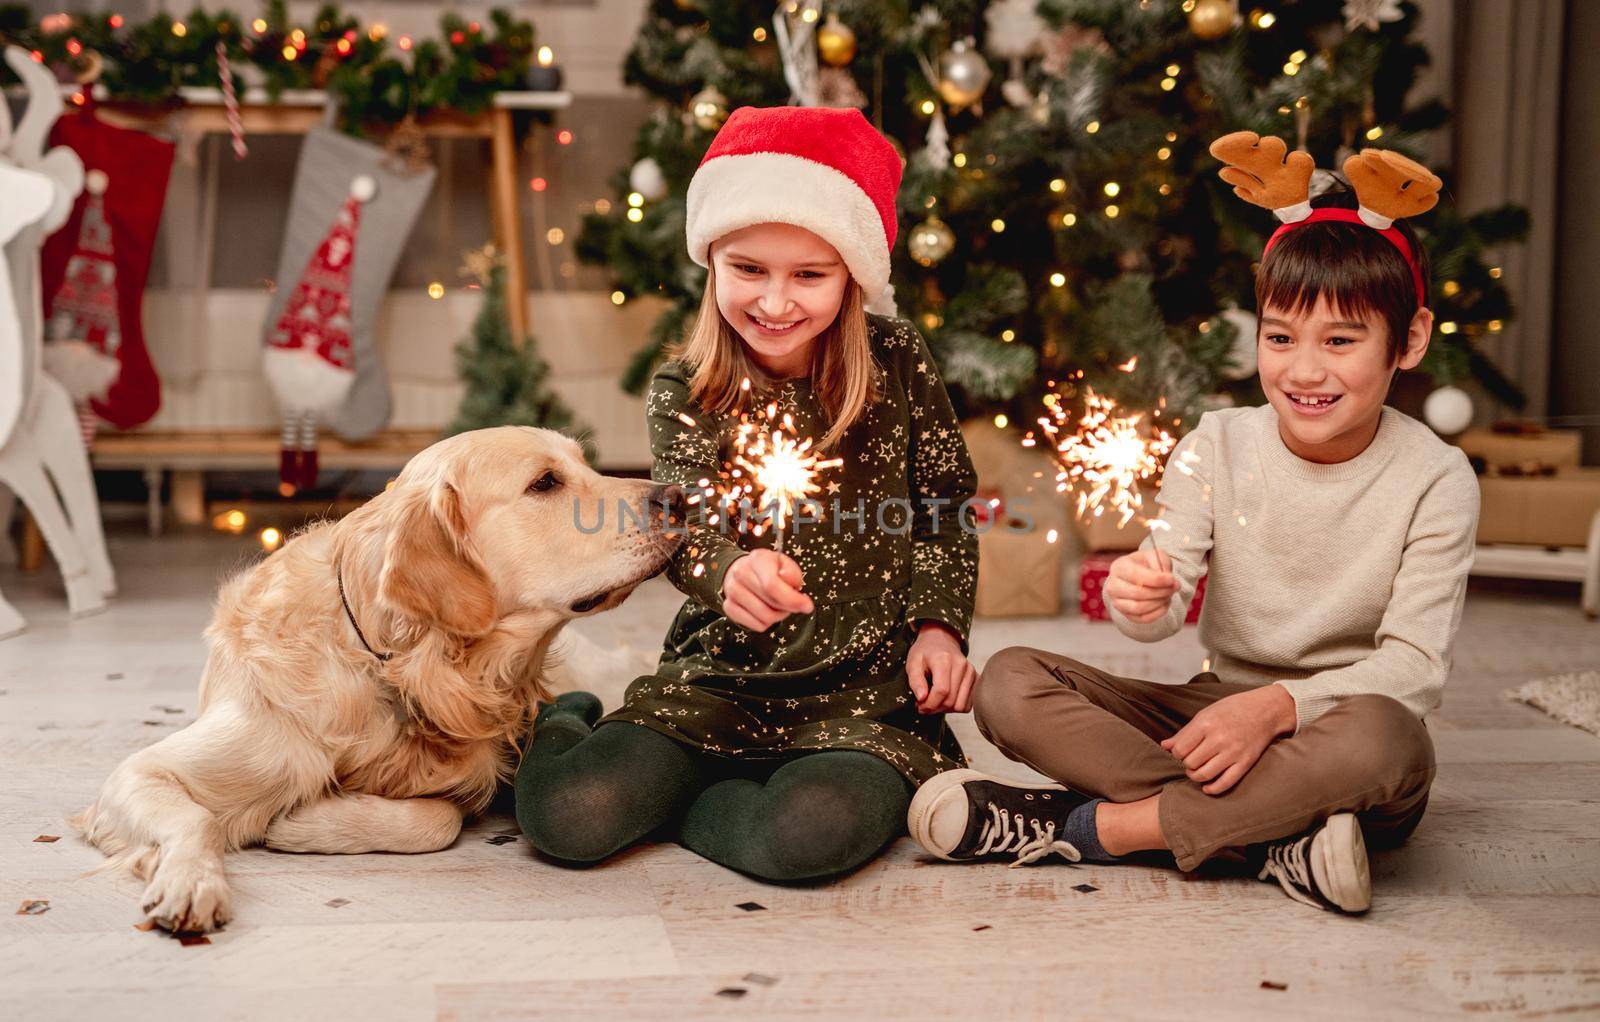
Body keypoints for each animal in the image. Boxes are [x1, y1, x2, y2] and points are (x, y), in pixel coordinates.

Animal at [72, 428, 684, 934]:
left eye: (585, 464)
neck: (395, 669)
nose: (678, 497)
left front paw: (301, 824)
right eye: (545, 482)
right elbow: (194, 817)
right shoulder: (146, 771)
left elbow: (437, 819)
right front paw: (191, 881)